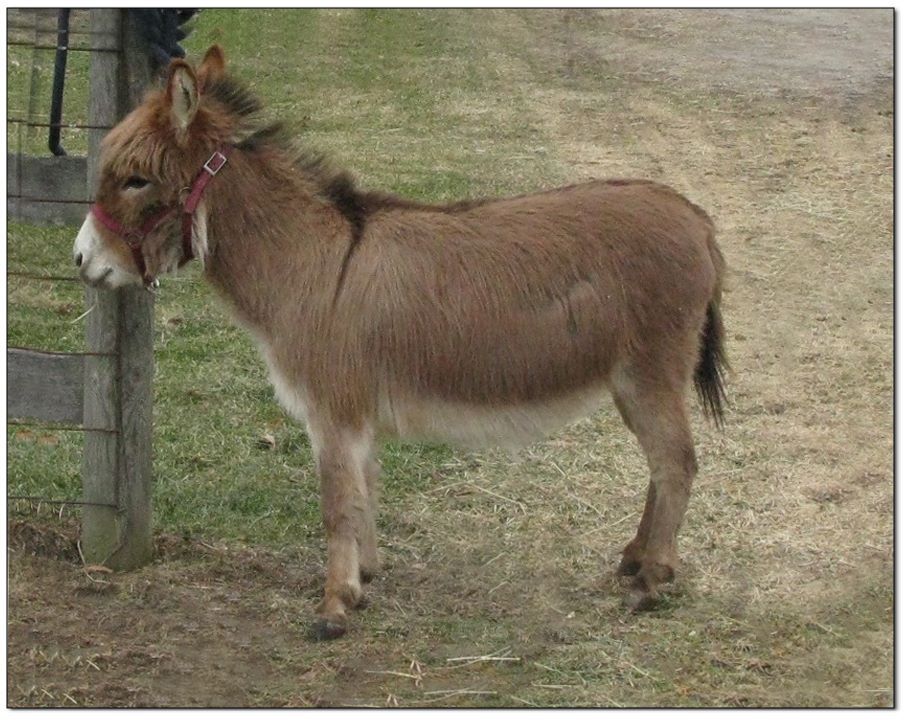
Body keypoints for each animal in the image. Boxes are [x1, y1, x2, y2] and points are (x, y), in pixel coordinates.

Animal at [74, 45, 728, 640]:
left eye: (135, 181)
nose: (81, 260)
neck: (310, 261)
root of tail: (695, 217)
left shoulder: (331, 410)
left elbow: (337, 503)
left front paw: (333, 608)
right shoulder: (355, 414)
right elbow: (364, 489)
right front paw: (364, 577)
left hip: (650, 372)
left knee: (676, 461)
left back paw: (651, 582)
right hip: (630, 380)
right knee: (660, 463)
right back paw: (636, 559)